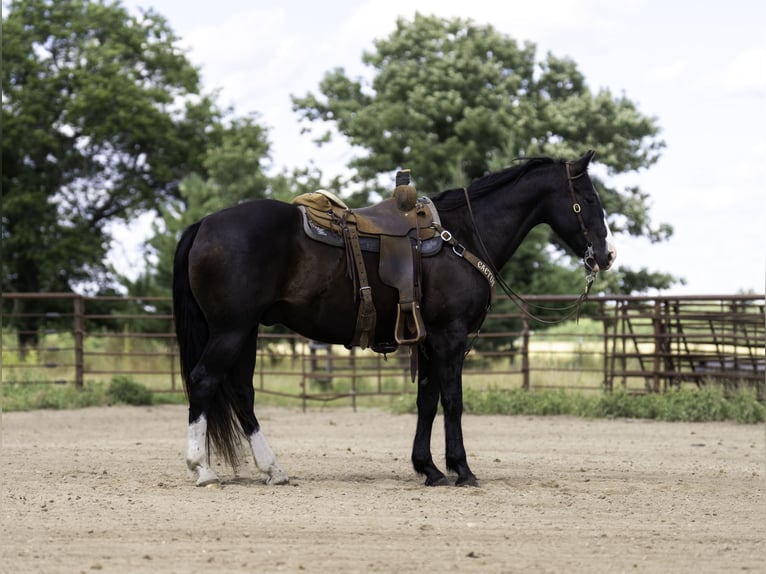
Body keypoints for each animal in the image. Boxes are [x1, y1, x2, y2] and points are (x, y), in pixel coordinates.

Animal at [172, 150, 616, 487]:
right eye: (590, 198)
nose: (607, 254)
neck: (462, 237)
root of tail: (204, 224)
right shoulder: (450, 337)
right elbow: (452, 401)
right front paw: (462, 470)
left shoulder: (428, 341)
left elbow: (426, 401)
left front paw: (429, 469)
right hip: (231, 330)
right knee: (204, 380)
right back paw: (204, 469)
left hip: (245, 331)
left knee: (241, 392)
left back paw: (273, 470)